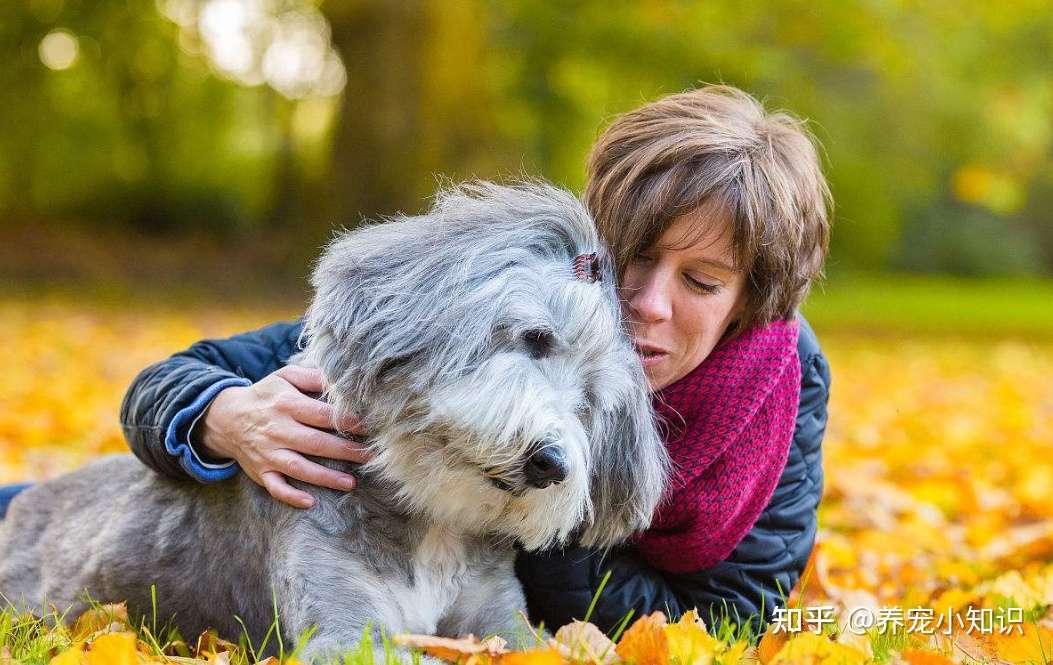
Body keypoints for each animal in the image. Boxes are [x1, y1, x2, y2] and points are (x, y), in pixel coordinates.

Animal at [0, 180, 669, 660]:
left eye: (588, 403)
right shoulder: (346, 630)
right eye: (534, 338)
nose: (549, 462)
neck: (432, 520)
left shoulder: (502, 618)